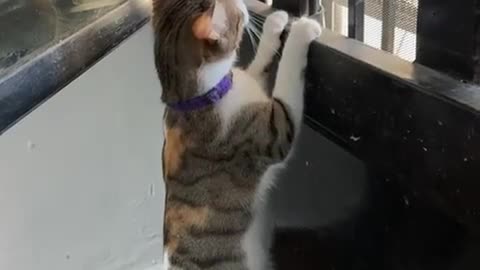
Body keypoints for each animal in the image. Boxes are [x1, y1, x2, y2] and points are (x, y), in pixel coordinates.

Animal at [152, 1, 320, 268]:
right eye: (237, 14)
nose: (244, 4)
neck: (198, 98)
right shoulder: (273, 130)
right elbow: (287, 77)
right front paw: (301, 31)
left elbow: (258, 66)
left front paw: (275, 23)